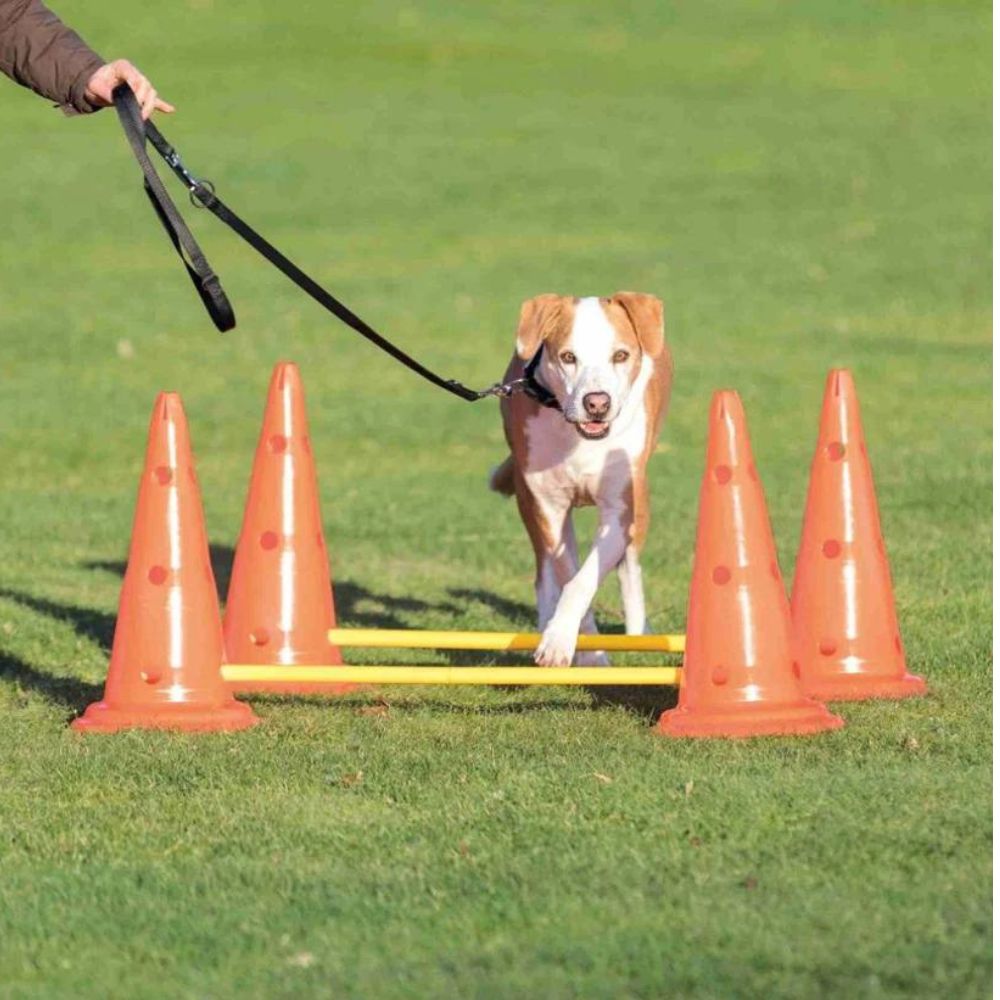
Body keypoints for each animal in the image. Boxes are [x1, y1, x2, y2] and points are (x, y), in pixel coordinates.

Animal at [490, 290, 672, 668]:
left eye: (620, 355)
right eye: (568, 357)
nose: (597, 403)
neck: (578, 438)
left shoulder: (619, 509)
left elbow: (585, 579)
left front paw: (568, 642)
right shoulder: (550, 506)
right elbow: (568, 574)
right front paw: (578, 650)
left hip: (640, 502)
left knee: (630, 566)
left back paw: (639, 634)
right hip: (529, 502)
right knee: (544, 568)